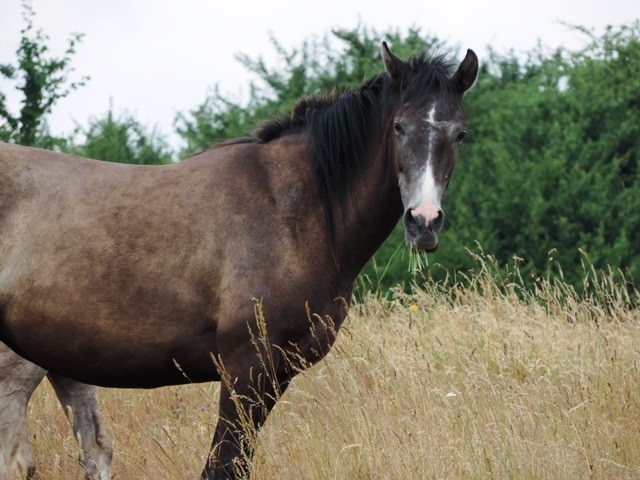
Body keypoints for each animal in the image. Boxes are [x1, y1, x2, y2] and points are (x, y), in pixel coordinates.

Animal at [0, 43, 476, 478]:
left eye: (460, 134)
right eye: (398, 126)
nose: (424, 221)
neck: (292, 208)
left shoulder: (276, 374)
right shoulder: (247, 366)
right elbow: (223, 466)